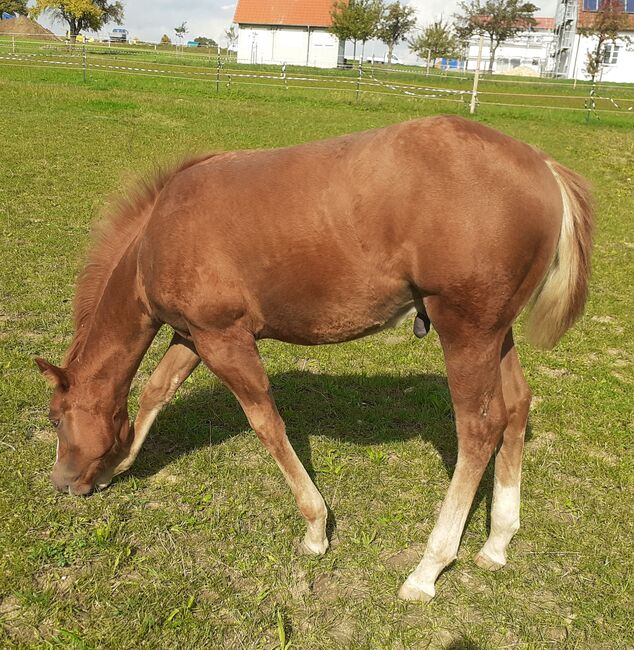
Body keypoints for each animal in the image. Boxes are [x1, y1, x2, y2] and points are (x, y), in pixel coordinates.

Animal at [34, 115, 592, 596]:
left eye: (56, 418)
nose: (62, 483)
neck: (159, 233)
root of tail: (544, 167)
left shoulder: (225, 340)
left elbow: (266, 424)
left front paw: (316, 529)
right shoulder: (192, 336)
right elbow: (156, 391)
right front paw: (119, 462)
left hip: (466, 332)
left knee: (479, 429)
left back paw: (427, 569)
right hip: (497, 334)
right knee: (517, 407)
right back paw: (497, 542)